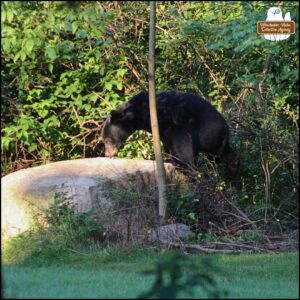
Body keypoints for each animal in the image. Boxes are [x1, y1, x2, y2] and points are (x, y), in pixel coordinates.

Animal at [102, 90, 240, 177]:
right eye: (104, 140)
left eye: (108, 139)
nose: (108, 154)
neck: (137, 113)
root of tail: (225, 128)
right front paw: (169, 158)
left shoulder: (164, 120)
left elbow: (172, 141)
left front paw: (171, 159)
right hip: (215, 141)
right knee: (221, 153)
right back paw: (233, 168)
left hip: (197, 129)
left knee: (185, 149)